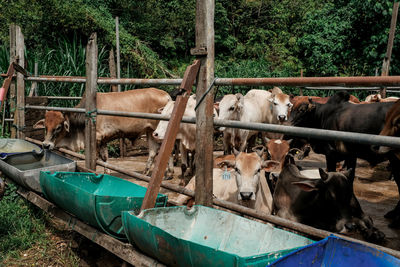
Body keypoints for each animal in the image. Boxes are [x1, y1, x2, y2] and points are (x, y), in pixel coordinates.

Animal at [33, 88, 171, 176]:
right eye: (45, 126)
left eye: (58, 127)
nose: (46, 145)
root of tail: (166, 95)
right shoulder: (103, 140)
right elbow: (105, 158)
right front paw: (107, 173)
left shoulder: (96, 138)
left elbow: (95, 158)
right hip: (150, 131)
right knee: (153, 151)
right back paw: (146, 173)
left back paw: (168, 173)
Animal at [290, 91, 400, 228]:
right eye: (291, 109)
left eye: (302, 110)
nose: (287, 124)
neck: (323, 116)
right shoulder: (351, 155)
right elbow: (350, 178)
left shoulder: (331, 154)